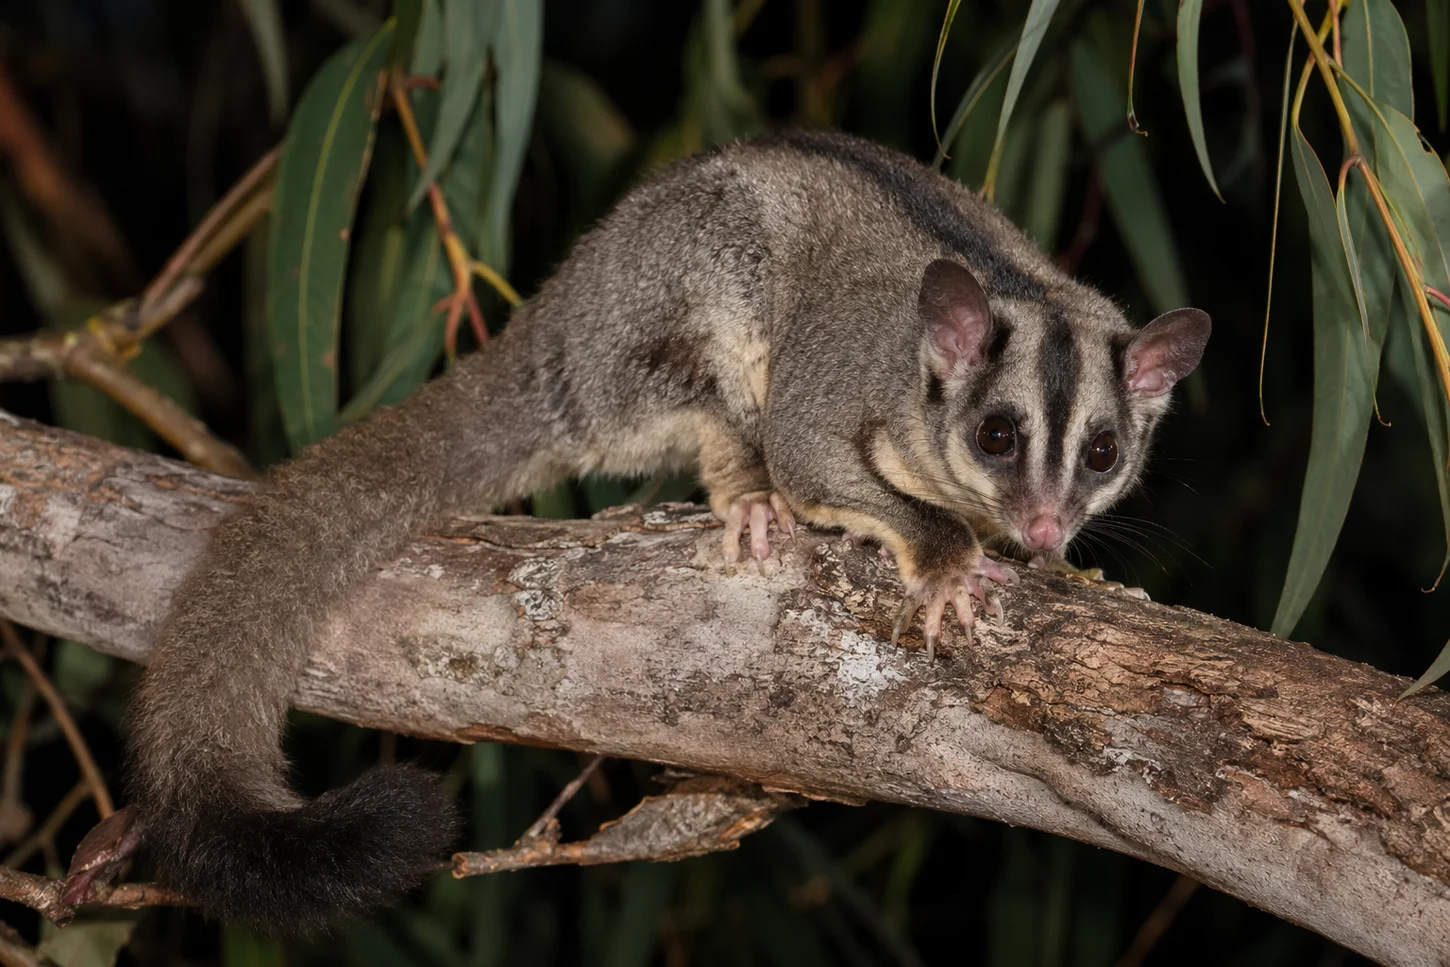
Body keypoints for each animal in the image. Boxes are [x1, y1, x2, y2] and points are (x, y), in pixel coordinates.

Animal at [127, 130, 1210, 931]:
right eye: (996, 435)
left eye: (1103, 453)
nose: (1044, 522)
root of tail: (559, 321)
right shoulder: (837, 388)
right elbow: (815, 457)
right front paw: (944, 558)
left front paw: (1062, 566)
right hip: (667, 315)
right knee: (719, 400)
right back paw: (750, 495)